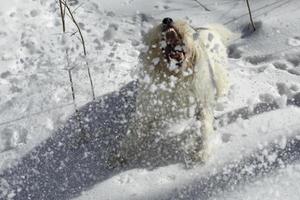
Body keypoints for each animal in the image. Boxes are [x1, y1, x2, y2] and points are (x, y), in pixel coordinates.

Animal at [116, 18, 233, 166]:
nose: (167, 19)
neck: (175, 78)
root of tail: (208, 28)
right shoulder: (148, 107)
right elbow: (135, 130)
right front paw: (122, 153)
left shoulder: (202, 102)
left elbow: (205, 128)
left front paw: (202, 153)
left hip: (220, 77)